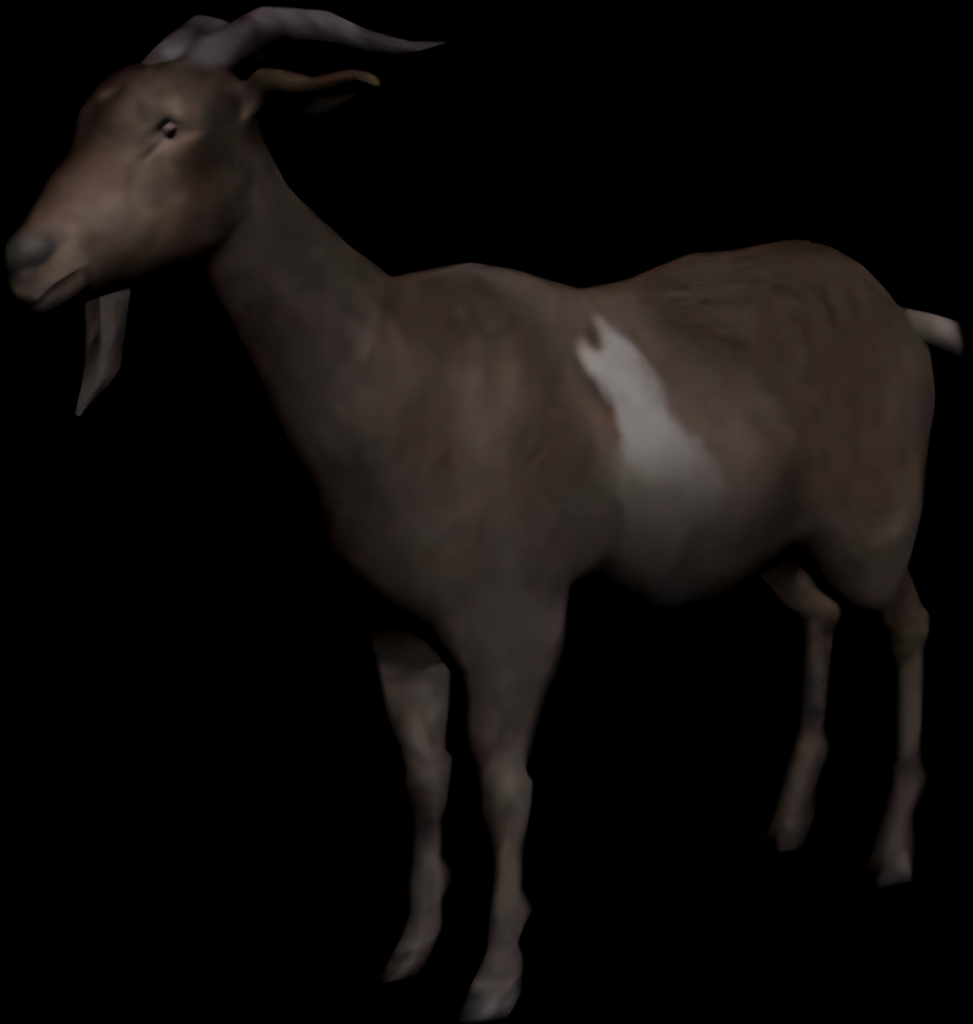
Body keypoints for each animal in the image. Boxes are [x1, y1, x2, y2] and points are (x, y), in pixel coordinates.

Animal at [5, 8, 963, 1021]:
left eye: (171, 125)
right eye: (86, 118)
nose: (29, 259)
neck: (398, 367)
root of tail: (901, 314)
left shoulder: (516, 621)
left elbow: (505, 786)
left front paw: (495, 977)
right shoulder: (392, 625)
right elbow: (425, 781)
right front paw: (410, 947)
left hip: (869, 528)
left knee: (905, 621)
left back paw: (890, 851)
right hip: (770, 545)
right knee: (818, 615)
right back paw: (786, 821)